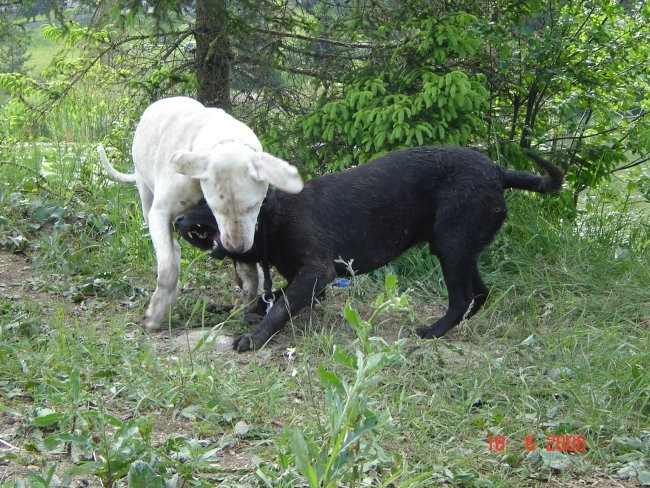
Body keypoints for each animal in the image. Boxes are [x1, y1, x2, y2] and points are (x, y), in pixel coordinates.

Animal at [175, 145, 560, 350]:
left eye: (209, 200)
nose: (177, 221)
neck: (271, 215)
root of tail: (498, 171)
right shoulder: (309, 282)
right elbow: (258, 302)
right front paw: (218, 310)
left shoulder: (317, 273)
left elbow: (278, 307)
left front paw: (253, 338)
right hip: (460, 249)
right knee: (479, 293)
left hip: (452, 247)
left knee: (463, 296)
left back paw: (432, 331)